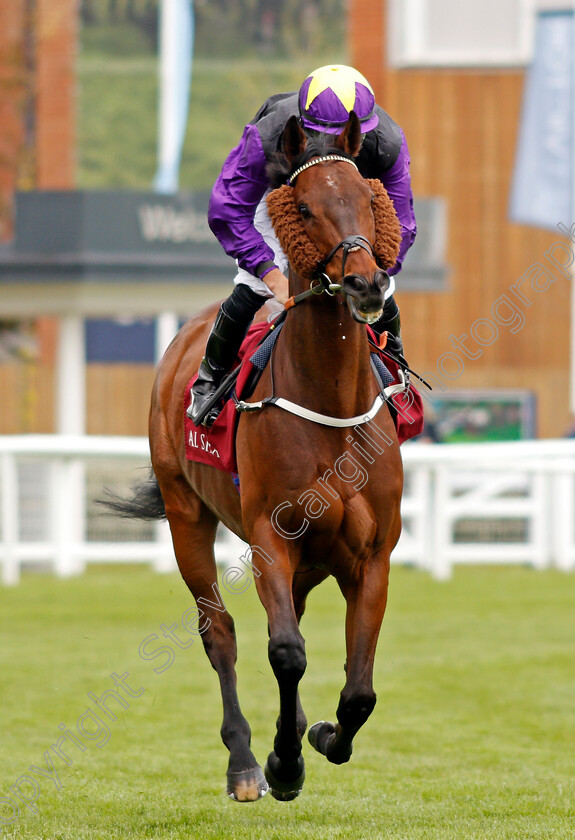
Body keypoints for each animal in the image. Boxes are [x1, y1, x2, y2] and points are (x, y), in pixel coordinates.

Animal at [116, 111, 402, 800]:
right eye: (303, 206)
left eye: (369, 199)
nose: (367, 282)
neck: (329, 405)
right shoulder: (271, 538)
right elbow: (286, 652)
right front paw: (283, 762)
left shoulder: (372, 555)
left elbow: (359, 690)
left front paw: (320, 735)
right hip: (186, 514)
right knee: (221, 633)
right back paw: (245, 760)